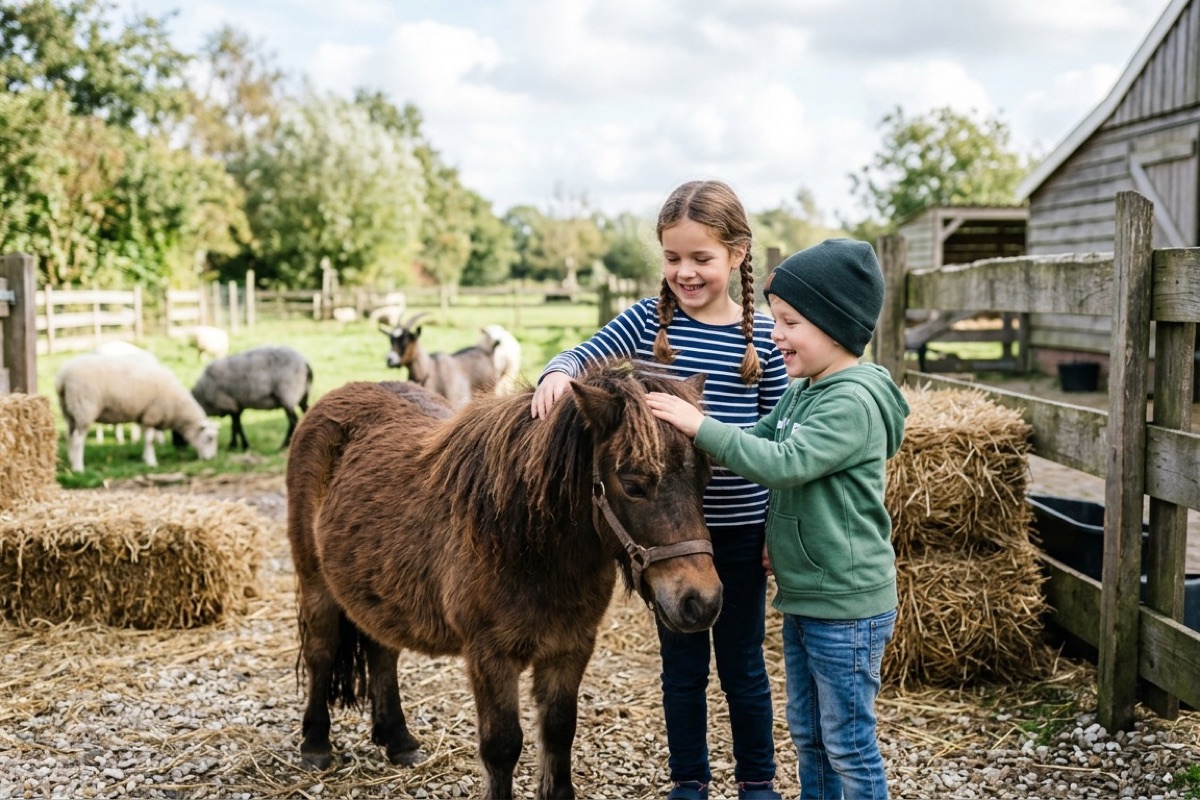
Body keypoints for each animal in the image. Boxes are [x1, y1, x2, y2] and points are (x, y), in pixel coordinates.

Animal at [285, 362, 723, 799]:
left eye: (704, 479)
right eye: (633, 484)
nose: (702, 601)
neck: (525, 543)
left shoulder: (571, 647)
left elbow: (559, 731)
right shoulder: (490, 656)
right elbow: (502, 746)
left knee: (382, 653)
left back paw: (399, 740)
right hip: (316, 585)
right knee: (321, 653)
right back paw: (315, 745)